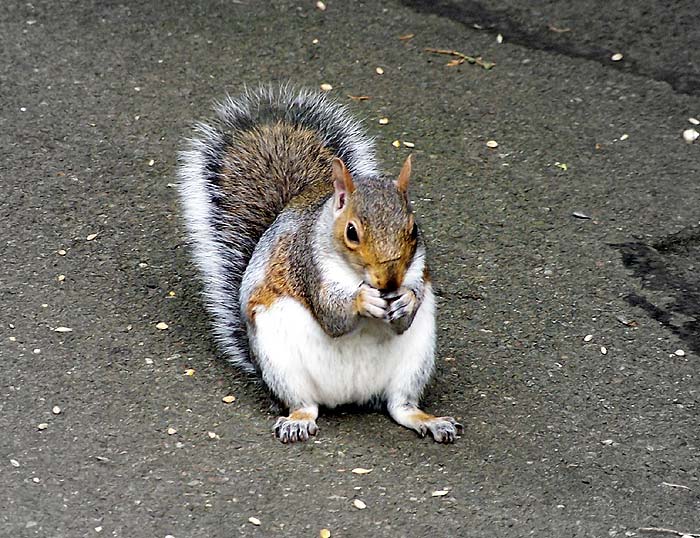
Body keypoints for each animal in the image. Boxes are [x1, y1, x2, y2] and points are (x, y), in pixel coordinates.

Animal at [177, 86, 462, 443]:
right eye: (352, 232)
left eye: (413, 229)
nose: (389, 282)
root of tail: (348, 396)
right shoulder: (307, 265)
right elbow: (331, 316)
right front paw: (362, 300)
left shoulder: (417, 270)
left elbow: (406, 313)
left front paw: (407, 300)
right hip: (282, 364)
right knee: (305, 405)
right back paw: (297, 420)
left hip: (414, 362)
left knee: (400, 407)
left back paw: (430, 421)